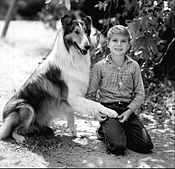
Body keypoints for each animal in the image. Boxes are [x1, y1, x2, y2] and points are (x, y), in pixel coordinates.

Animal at [0, 15, 117, 143]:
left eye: (86, 31)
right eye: (76, 32)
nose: (88, 46)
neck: (72, 57)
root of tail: (4, 116)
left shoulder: (69, 102)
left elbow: (73, 115)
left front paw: (75, 133)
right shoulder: (72, 98)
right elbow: (95, 104)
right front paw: (111, 112)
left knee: (24, 128)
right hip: (27, 108)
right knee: (12, 130)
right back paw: (20, 138)